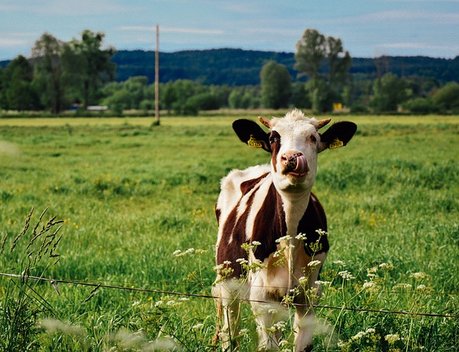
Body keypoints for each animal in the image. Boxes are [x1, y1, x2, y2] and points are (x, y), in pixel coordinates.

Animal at [214, 108, 358, 350]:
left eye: (313, 137)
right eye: (273, 138)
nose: (291, 157)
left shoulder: (309, 295)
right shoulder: (263, 298)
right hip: (228, 281)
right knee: (229, 330)